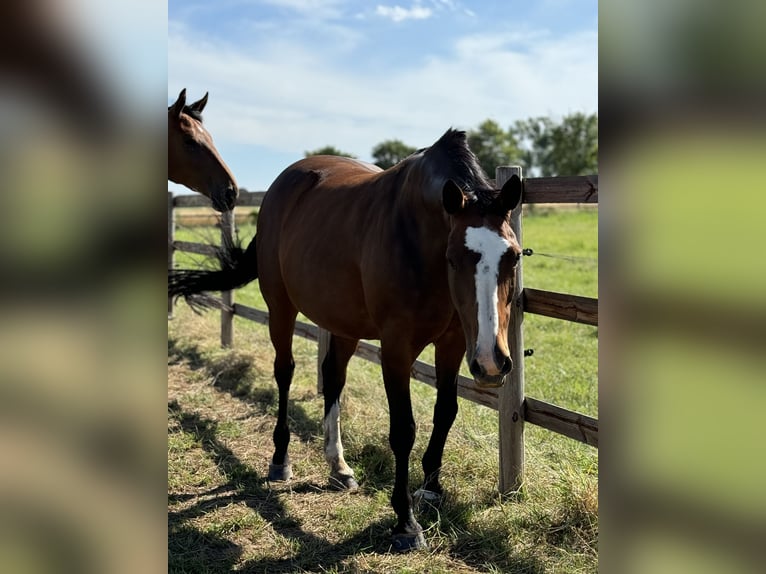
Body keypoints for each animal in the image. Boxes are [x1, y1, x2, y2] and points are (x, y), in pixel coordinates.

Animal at [171, 128, 524, 552]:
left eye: (514, 256)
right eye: (454, 257)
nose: (492, 363)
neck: (417, 233)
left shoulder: (454, 342)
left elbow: (445, 412)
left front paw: (431, 489)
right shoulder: (396, 348)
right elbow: (403, 429)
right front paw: (406, 522)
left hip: (344, 324)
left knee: (333, 377)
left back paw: (338, 465)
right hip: (281, 308)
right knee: (285, 372)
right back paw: (280, 460)